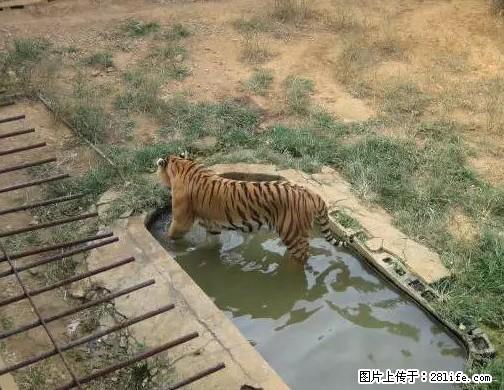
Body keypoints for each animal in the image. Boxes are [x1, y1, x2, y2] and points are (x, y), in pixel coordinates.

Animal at [156, 154, 348, 264]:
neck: (184, 165)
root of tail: (312, 193)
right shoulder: (213, 226)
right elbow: (211, 243)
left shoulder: (181, 220)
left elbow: (172, 235)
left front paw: (169, 247)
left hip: (293, 234)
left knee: (302, 257)